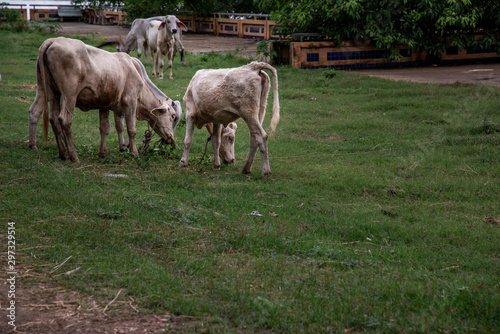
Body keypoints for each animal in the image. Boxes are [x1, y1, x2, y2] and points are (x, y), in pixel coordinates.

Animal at [28, 37, 181, 162]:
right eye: (173, 116)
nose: (172, 139)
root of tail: (53, 41)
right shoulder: (130, 102)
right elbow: (131, 129)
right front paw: (134, 153)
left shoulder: (104, 104)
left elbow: (104, 128)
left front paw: (103, 153)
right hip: (68, 95)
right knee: (64, 120)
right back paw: (73, 156)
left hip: (50, 91)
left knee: (48, 117)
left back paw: (61, 153)